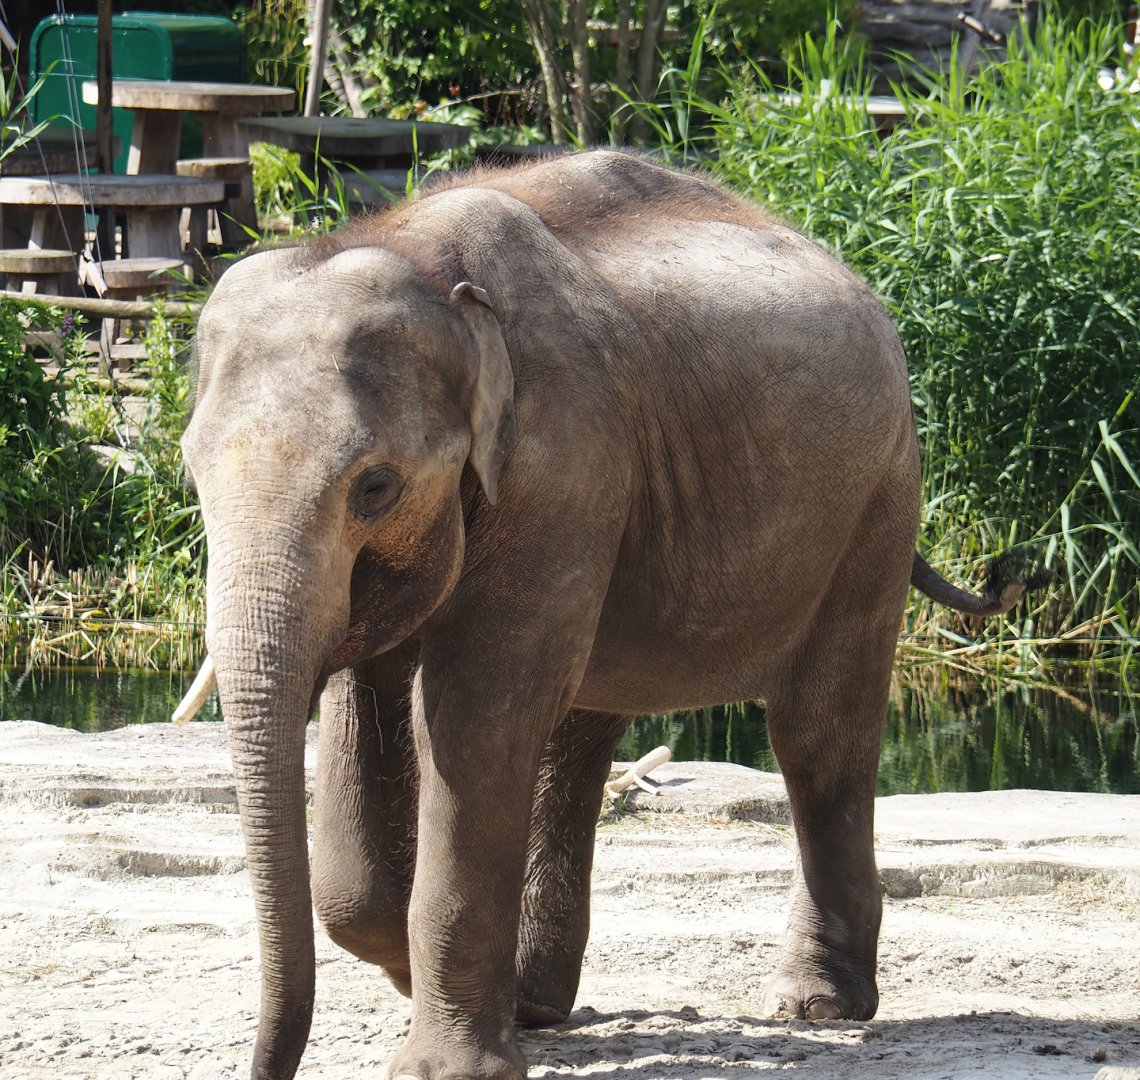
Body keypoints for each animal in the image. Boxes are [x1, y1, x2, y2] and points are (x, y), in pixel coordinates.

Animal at [179, 149, 1042, 1079]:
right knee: (579, 735)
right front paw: (443, 985)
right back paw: (539, 1003)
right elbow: (370, 717)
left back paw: (817, 1007)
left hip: (877, 499)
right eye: (191, 473)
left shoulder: (566, 463)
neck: (413, 253)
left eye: (374, 487)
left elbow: (475, 711)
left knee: (817, 733)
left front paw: (452, 1063)